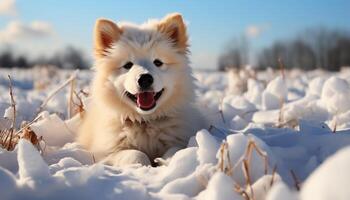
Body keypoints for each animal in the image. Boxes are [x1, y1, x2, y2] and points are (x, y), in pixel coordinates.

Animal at [78, 12, 206, 166]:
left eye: (158, 62)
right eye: (128, 65)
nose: (145, 79)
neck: (145, 121)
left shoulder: (180, 139)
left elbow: (174, 151)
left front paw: (170, 162)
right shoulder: (105, 153)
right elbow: (135, 154)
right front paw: (141, 166)